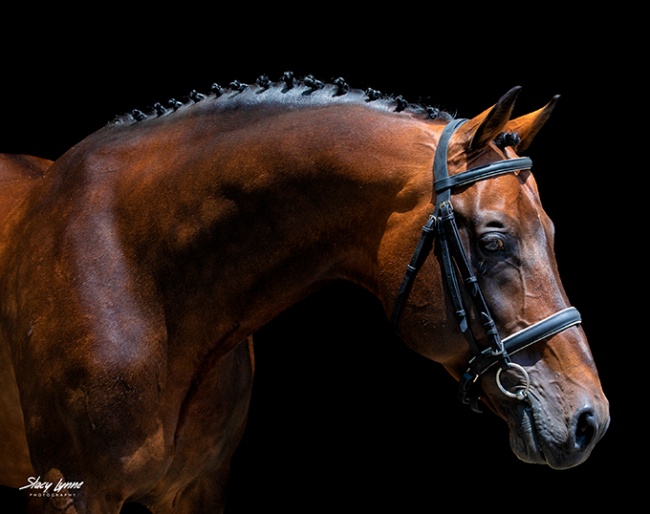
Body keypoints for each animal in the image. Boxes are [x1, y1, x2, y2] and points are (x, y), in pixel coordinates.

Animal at [0, 73, 608, 512]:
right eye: (493, 240)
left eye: (550, 233)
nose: (590, 421)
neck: (141, 269)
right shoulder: (73, 491)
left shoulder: (196, 487)